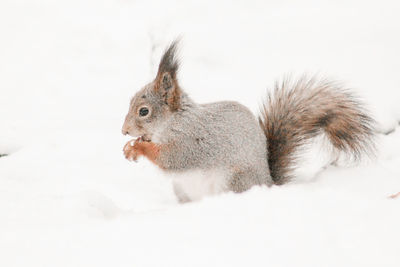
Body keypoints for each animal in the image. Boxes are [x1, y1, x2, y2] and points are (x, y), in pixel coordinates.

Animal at [121, 40, 376, 203]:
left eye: (144, 111)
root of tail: (268, 183)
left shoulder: (192, 142)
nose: (124, 131)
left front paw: (139, 146)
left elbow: (171, 159)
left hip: (235, 180)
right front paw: (129, 148)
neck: (175, 122)